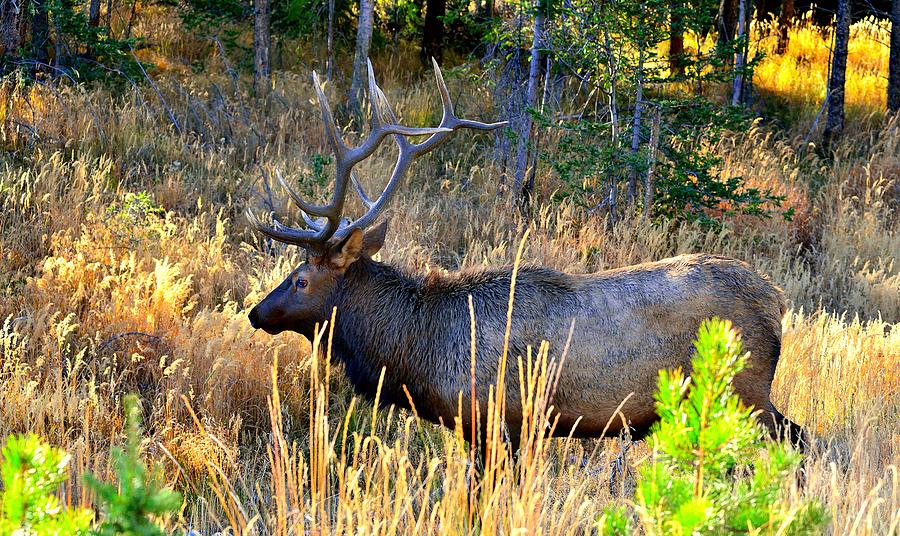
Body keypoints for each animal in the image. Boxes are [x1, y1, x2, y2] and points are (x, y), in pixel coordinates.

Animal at [246, 58, 800, 452]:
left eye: (300, 278)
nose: (255, 312)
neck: (418, 349)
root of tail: (777, 299)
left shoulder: (499, 421)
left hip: (746, 392)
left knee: (798, 441)